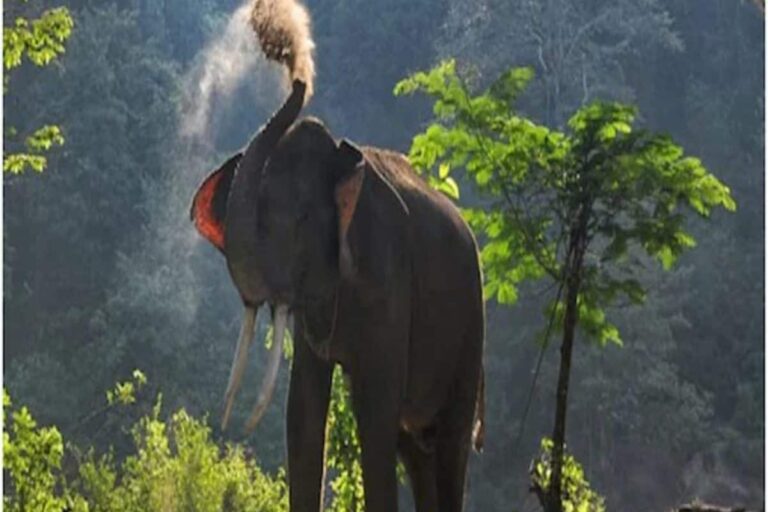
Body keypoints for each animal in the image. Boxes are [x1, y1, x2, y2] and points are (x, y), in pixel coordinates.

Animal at [191, 78, 485, 512]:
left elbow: (375, 415)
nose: (298, 79)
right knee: (416, 448)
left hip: (470, 329)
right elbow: (303, 411)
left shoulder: (388, 277)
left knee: (449, 443)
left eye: (300, 220)